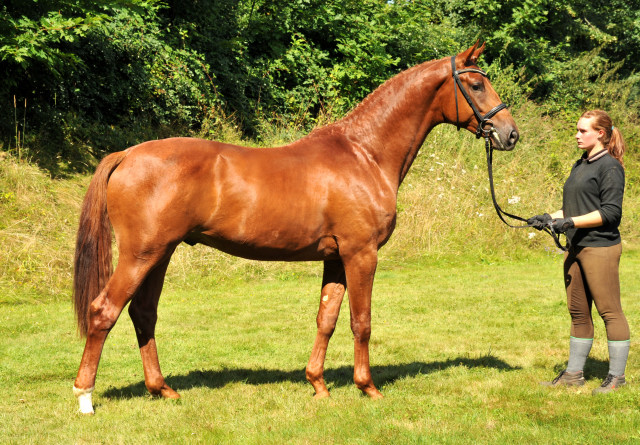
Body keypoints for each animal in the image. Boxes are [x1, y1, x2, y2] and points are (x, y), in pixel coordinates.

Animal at [72, 42, 516, 412]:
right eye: (476, 84)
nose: (509, 134)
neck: (365, 154)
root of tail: (127, 154)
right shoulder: (361, 254)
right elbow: (361, 321)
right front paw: (368, 387)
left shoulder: (336, 258)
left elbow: (327, 318)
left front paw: (317, 384)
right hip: (141, 254)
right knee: (104, 311)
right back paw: (85, 396)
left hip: (160, 254)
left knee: (143, 313)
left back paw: (162, 389)